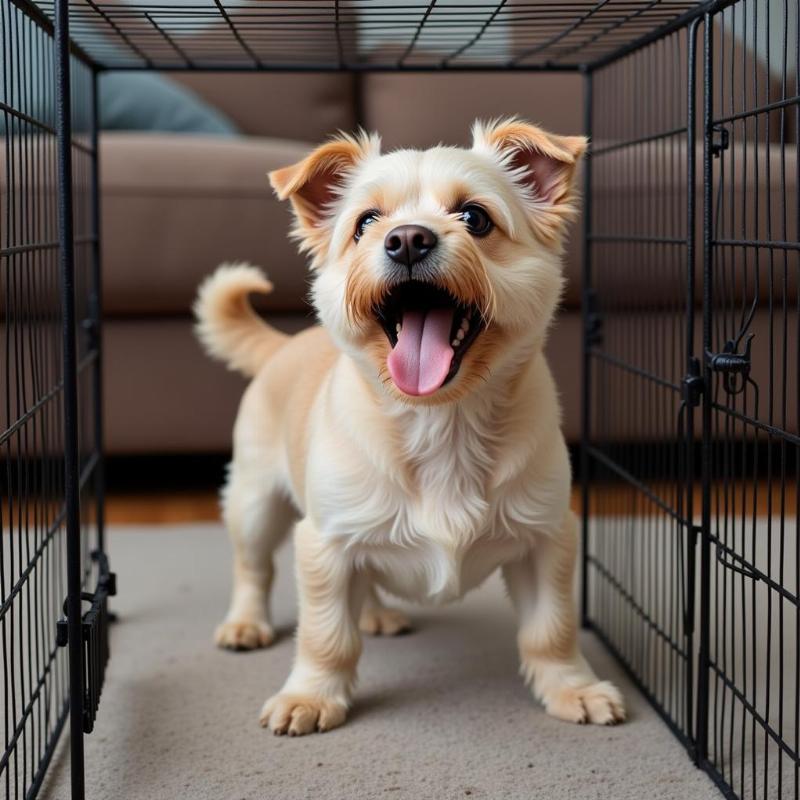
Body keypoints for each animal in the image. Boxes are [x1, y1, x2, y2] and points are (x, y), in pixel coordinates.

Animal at [192, 115, 624, 736]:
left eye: (475, 218)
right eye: (366, 223)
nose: (408, 239)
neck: (441, 420)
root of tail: (286, 343)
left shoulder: (548, 538)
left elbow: (552, 629)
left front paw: (573, 688)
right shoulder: (324, 544)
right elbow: (326, 636)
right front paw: (312, 696)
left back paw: (374, 612)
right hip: (254, 502)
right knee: (252, 568)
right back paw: (246, 624)